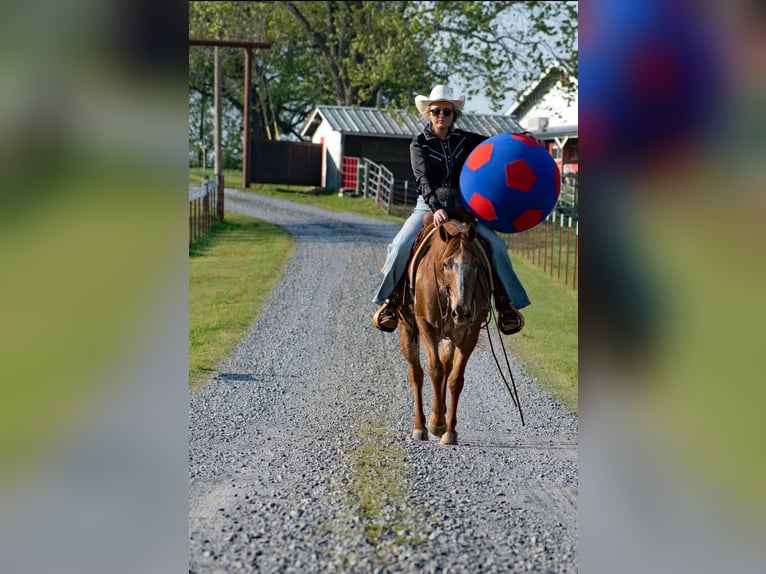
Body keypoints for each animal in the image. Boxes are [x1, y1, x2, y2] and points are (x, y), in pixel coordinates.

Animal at [397, 213, 492, 445]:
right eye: (447, 264)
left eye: (475, 264)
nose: (462, 311)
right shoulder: (426, 328)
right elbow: (435, 370)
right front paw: (437, 424)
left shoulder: (469, 335)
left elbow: (455, 379)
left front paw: (449, 430)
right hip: (407, 330)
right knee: (417, 373)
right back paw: (420, 426)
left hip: (450, 336)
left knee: (446, 367)